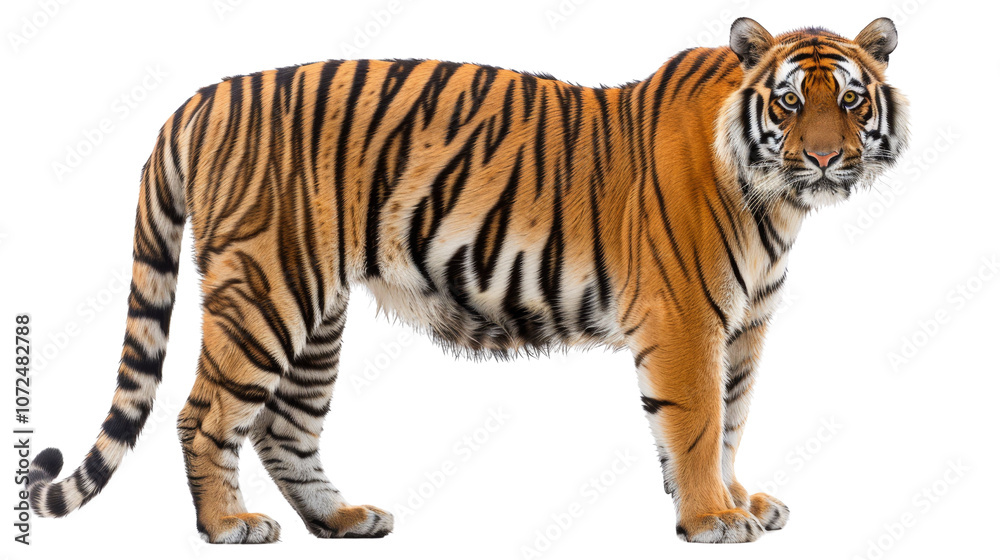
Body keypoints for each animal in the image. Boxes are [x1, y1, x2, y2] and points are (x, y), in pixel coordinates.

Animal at [27, 17, 908, 544]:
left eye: (850, 99)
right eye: (789, 103)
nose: (825, 157)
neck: (778, 201)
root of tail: (200, 99)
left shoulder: (745, 328)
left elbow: (733, 421)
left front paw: (739, 500)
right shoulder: (686, 320)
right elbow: (696, 424)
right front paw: (710, 519)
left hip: (316, 313)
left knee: (285, 429)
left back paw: (344, 519)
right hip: (265, 293)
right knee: (203, 413)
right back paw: (227, 525)